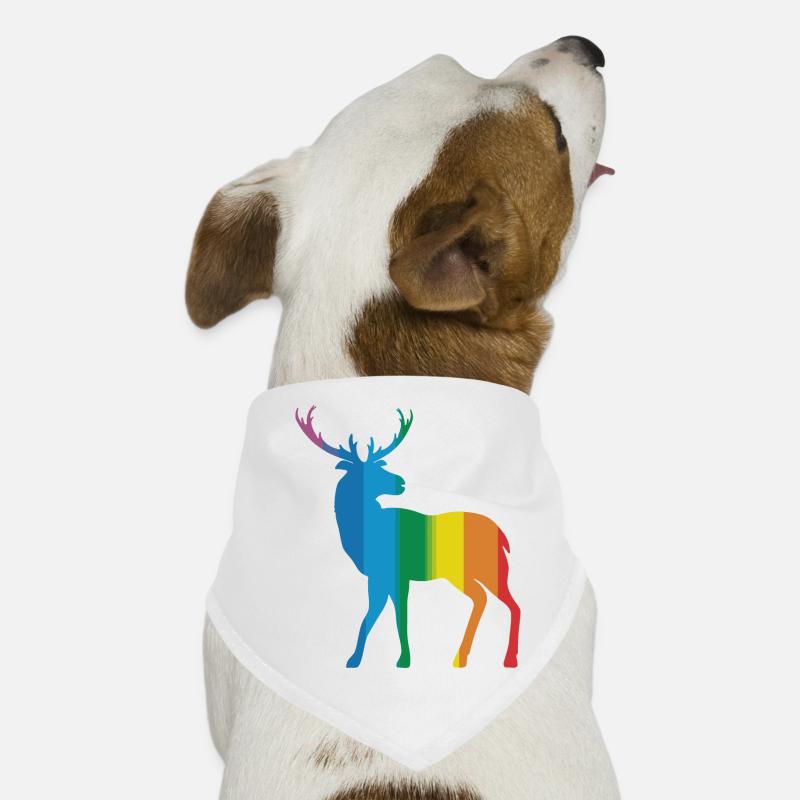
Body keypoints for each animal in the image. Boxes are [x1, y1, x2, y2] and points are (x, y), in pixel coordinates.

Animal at [295, 406, 521, 669]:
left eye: (379, 466)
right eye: (368, 471)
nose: (400, 481)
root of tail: (503, 536)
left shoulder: (398, 575)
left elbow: (399, 615)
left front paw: (403, 660)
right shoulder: (378, 577)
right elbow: (371, 616)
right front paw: (354, 659)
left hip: (488, 569)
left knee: (511, 604)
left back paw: (507, 658)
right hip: (464, 574)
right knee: (483, 599)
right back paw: (461, 657)